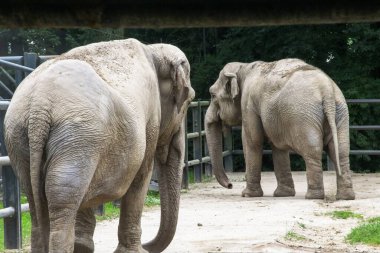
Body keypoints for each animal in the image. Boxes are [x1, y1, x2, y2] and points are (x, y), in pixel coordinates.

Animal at [4, 38, 196, 253]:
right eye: (189, 100)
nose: (147, 246)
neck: (153, 50)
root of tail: (39, 107)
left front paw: (83, 247)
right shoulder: (151, 118)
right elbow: (141, 176)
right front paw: (133, 252)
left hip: (22, 138)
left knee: (35, 197)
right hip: (77, 139)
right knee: (64, 199)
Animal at [206, 58, 354, 201]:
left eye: (212, 95)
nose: (230, 185)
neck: (244, 67)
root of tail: (327, 91)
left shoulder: (248, 104)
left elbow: (253, 141)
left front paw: (247, 195)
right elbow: (278, 147)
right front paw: (283, 194)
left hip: (304, 116)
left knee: (313, 151)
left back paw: (313, 196)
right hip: (340, 113)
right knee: (341, 151)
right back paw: (345, 197)